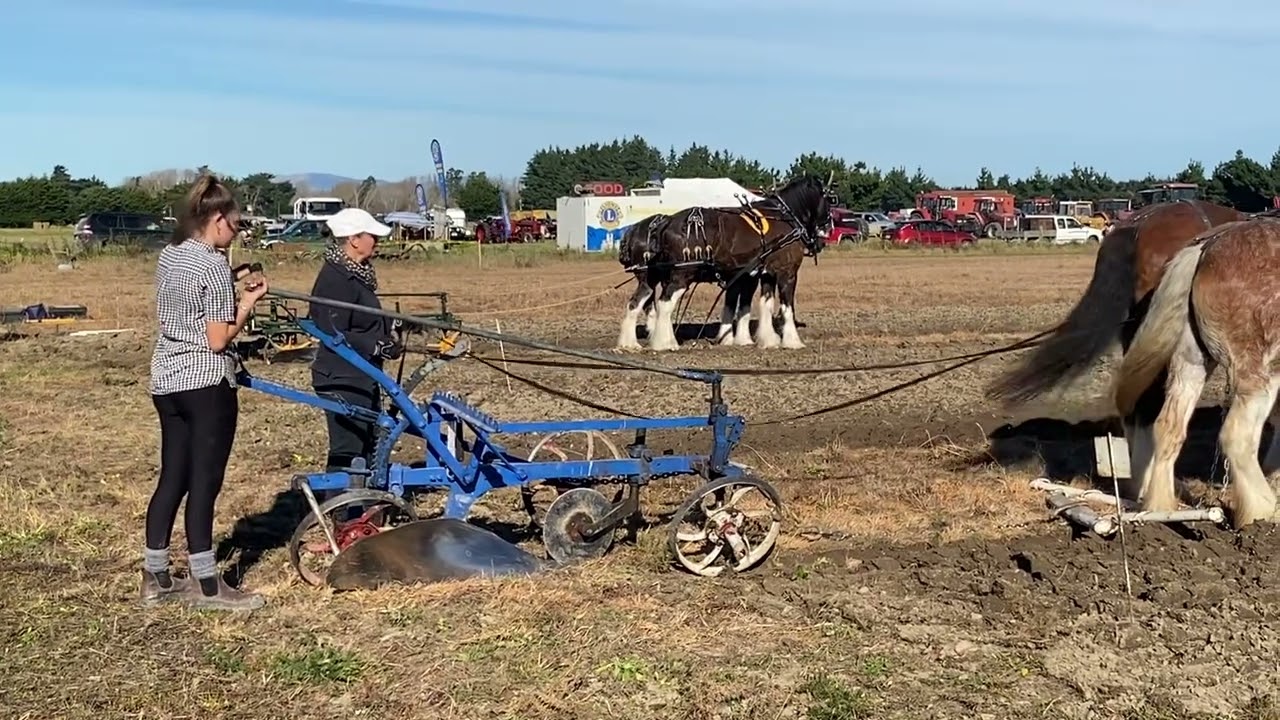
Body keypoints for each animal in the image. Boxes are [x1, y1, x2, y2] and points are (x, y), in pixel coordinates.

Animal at [638, 175, 833, 352]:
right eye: (830, 200)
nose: (827, 231)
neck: (784, 217)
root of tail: (667, 221)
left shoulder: (766, 274)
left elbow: (766, 304)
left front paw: (768, 340)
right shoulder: (787, 272)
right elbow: (787, 307)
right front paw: (793, 341)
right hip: (682, 276)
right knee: (665, 303)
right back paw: (664, 343)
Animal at [1110, 217, 1280, 528]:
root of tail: (1203, 250)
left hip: (1190, 362)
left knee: (1167, 426)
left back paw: (1160, 505)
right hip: (1259, 370)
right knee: (1237, 435)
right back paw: (1262, 510)